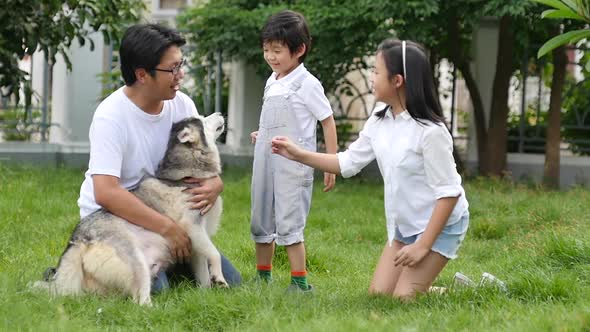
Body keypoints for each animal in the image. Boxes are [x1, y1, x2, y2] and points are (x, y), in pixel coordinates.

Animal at [35, 113, 229, 304]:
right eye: (203, 119)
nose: (220, 113)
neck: (186, 176)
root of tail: (77, 239)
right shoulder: (192, 228)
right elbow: (214, 254)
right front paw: (220, 278)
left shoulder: (197, 242)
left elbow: (203, 271)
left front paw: (205, 294)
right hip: (136, 260)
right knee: (140, 301)